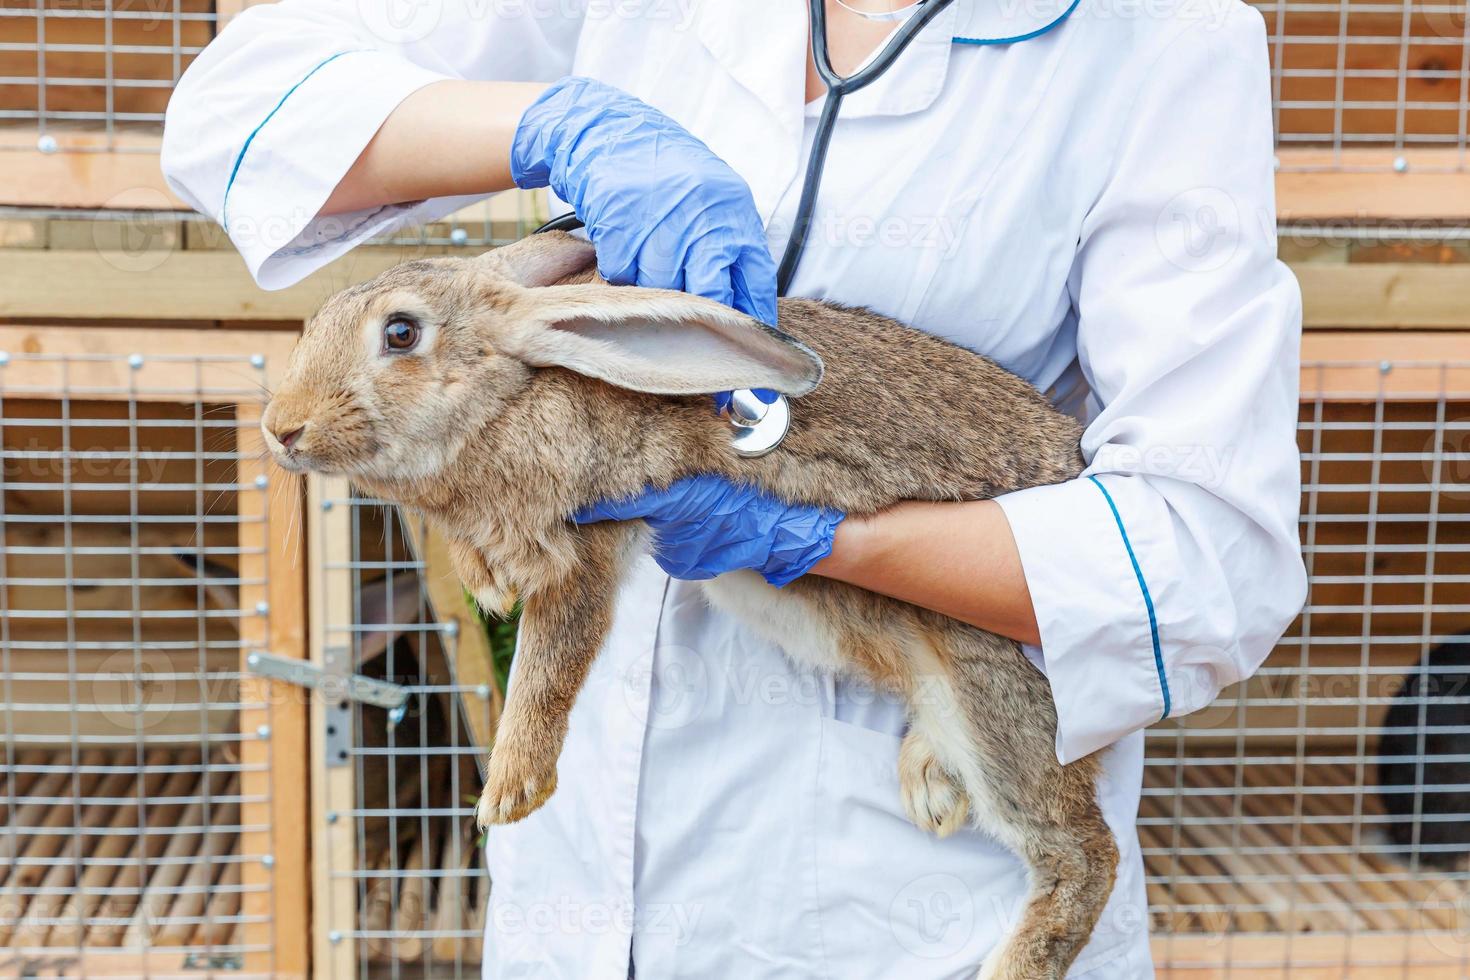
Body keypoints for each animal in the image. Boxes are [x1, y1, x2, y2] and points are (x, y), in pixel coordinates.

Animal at [261, 232, 1111, 980]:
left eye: (401, 333)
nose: (280, 428)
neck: (510, 398)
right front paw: (486, 581)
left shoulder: (591, 543)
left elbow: (549, 666)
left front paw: (508, 792)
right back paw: (929, 785)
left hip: (994, 686)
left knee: (1083, 852)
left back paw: (1011, 962)